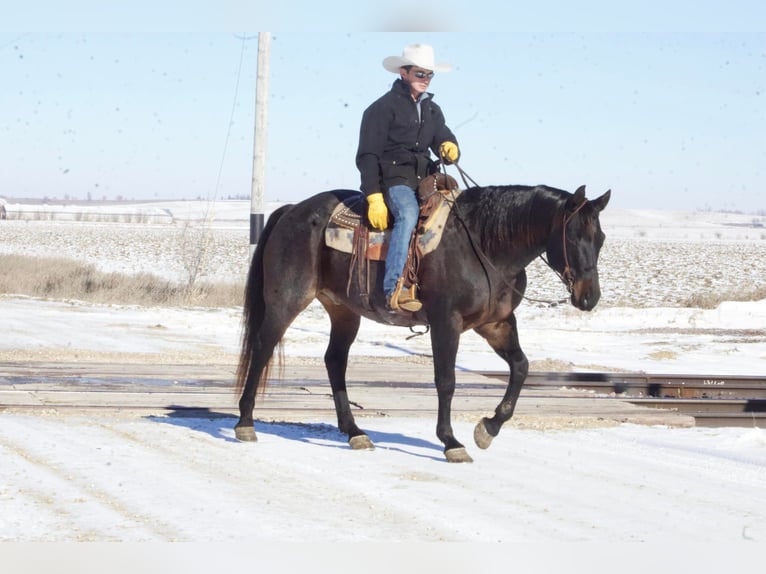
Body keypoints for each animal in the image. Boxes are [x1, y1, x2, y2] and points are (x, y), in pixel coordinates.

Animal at [234, 184, 612, 464]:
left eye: (601, 239)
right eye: (574, 237)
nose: (589, 297)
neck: (484, 245)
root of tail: (291, 210)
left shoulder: (496, 323)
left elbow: (521, 367)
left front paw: (488, 428)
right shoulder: (447, 322)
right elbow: (446, 381)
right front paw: (451, 441)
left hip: (343, 310)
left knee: (335, 360)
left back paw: (354, 432)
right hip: (287, 300)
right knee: (263, 347)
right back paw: (245, 422)